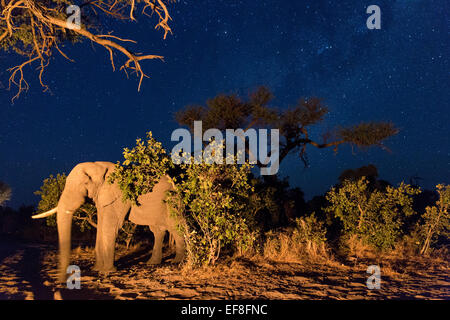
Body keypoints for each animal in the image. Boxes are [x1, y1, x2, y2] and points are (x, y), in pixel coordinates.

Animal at [31, 161, 185, 282]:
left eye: (85, 183)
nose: (62, 281)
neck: (99, 168)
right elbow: (101, 226)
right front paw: (97, 269)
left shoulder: (118, 195)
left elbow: (109, 227)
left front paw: (107, 271)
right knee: (158, 230)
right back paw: (151, 263)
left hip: (171, 202)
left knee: (175, 226)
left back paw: (177, 261)